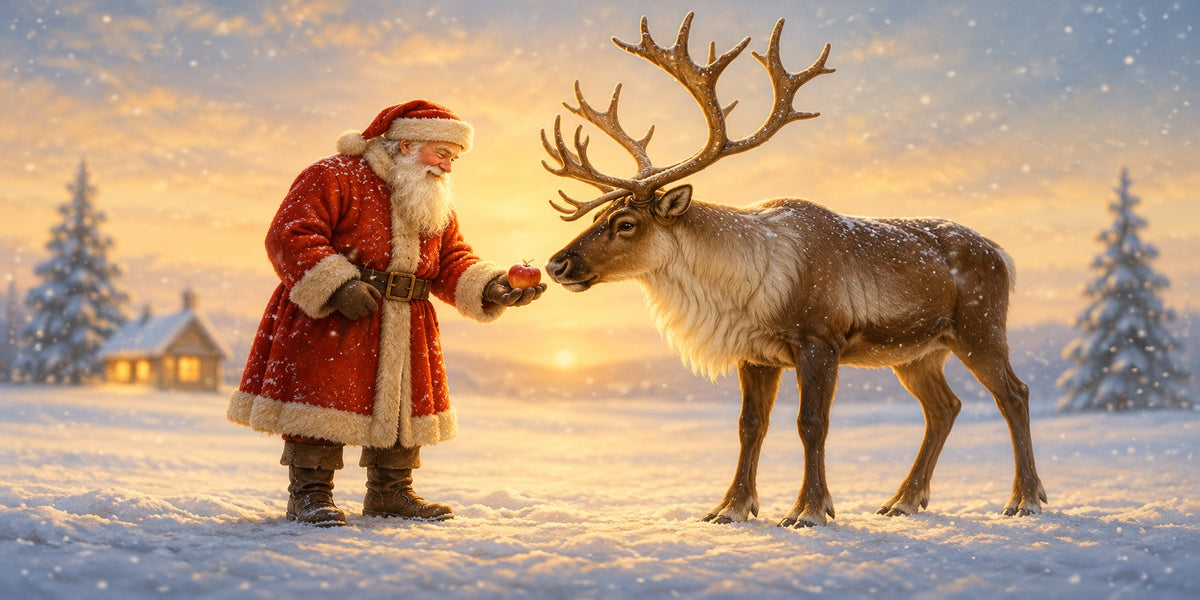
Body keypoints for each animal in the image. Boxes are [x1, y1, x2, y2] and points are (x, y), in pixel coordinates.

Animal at [541, 13, 1047, 528]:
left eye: (626, 223)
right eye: (600, 216)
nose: (556, 263)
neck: (740, 290)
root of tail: (1003, 255)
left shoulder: (820, 339)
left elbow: (812, 424)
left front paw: (810, 510)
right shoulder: (755, 355)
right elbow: (750, 425)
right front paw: (730, 508)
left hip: (979, 329)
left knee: (1015, 394)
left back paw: (1023, 499)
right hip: (918, 351)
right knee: (945, 407)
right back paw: (902, 500)